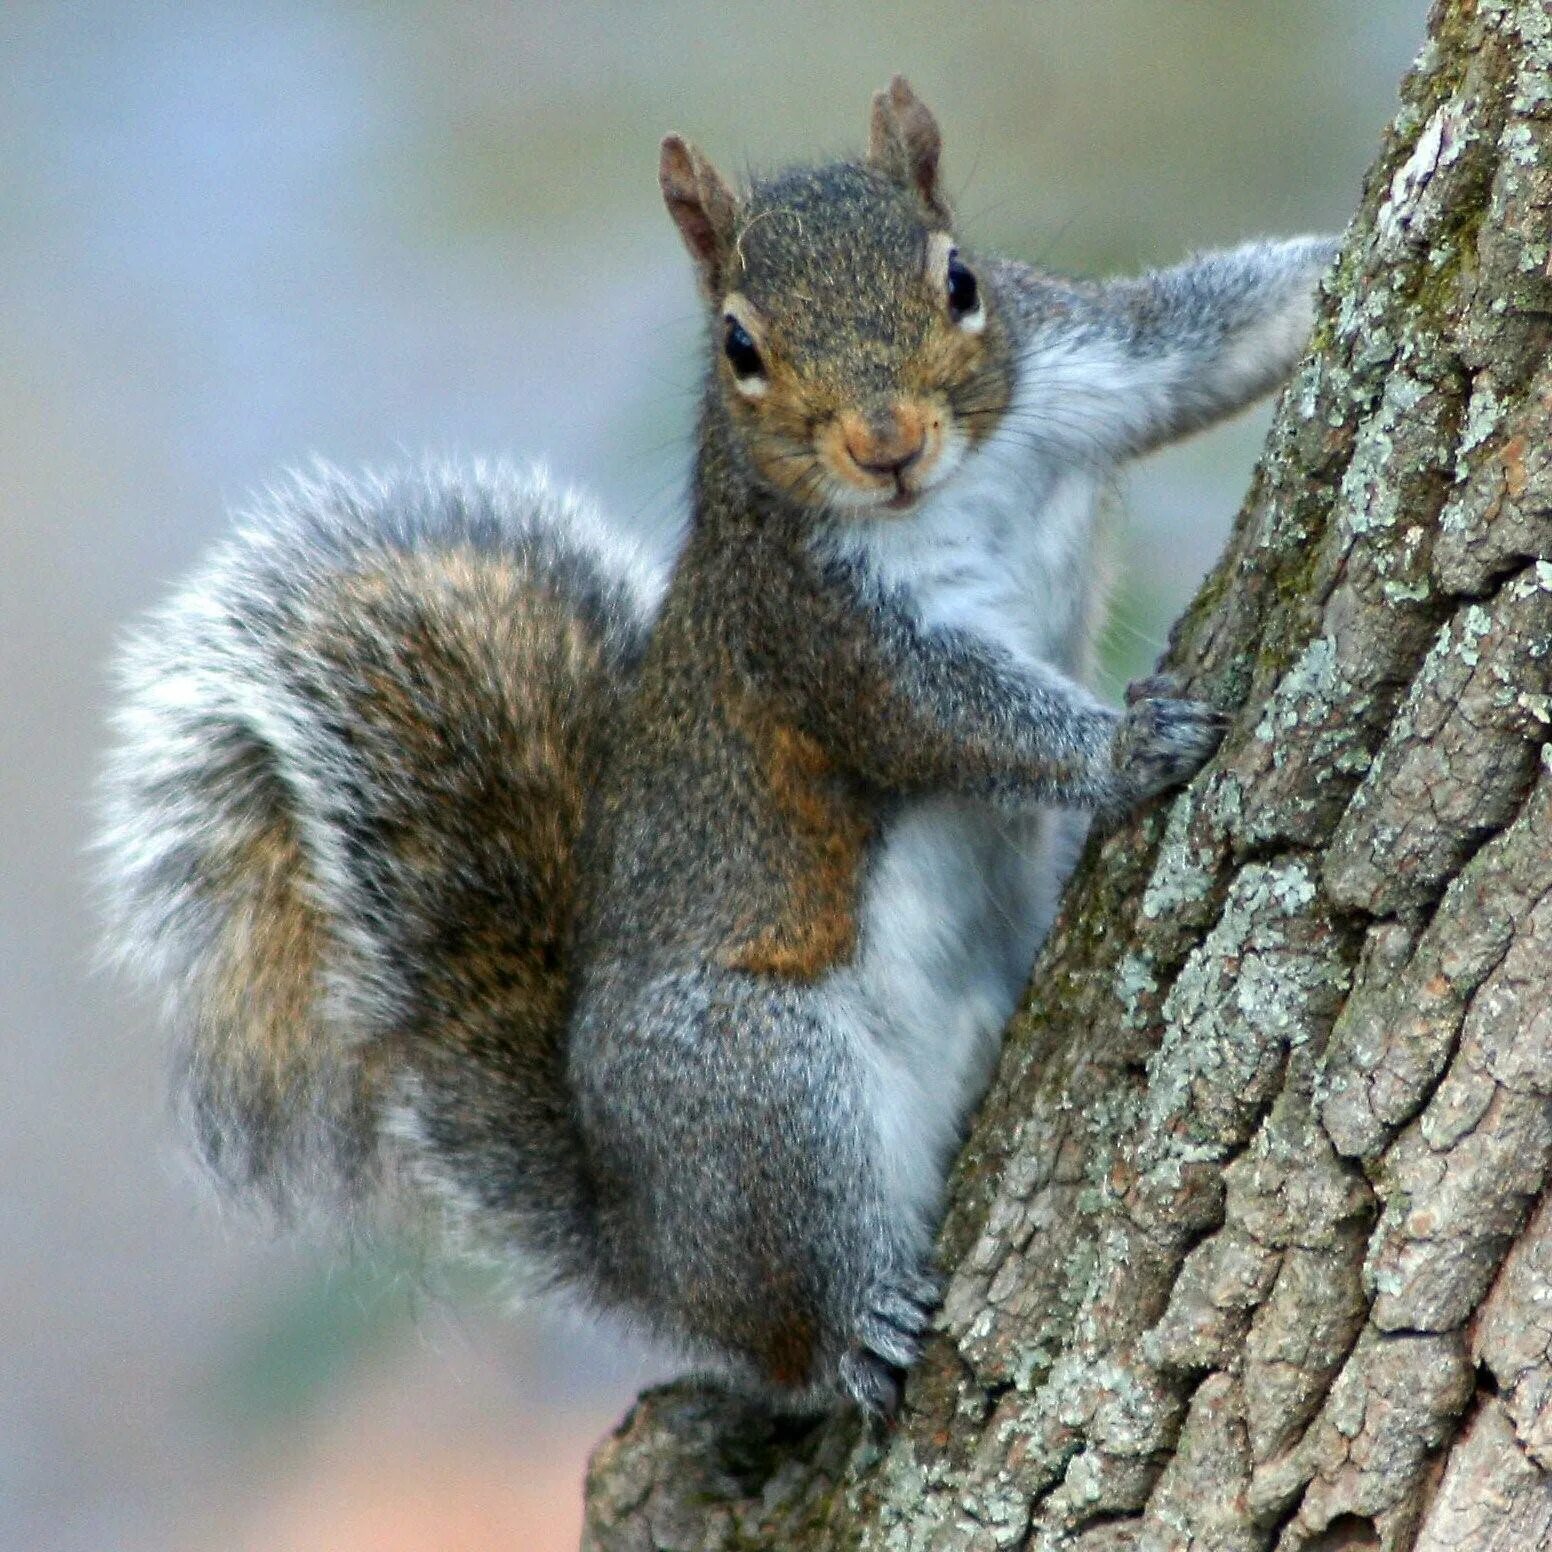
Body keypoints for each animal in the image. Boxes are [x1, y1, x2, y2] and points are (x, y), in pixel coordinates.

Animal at [100, 78, 1334, 1415]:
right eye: (740, 347)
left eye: (958, 280)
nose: (886, 444)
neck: (946, 491)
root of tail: (650, 1250)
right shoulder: (811, 625)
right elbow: (946, 713)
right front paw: (1124, 746)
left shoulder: (1078, 359)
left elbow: (1212, 332)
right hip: (757, 1092)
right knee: (797, 1302)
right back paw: (857, 1323)